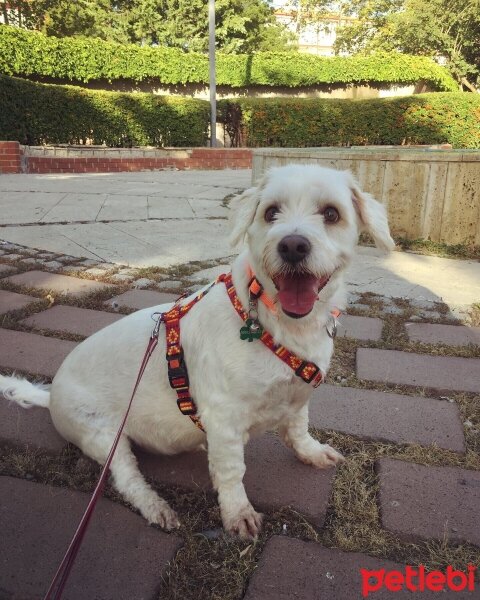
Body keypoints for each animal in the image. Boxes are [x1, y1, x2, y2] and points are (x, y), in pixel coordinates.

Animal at [0, 163, 394, 540]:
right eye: (271, 212)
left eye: (331, 213)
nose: (293, 246)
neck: (279, 323)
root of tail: (50, 396)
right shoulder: (223, 414)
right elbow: (232, 470)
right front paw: (237, 513)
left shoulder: (298, 397)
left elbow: (298, 429)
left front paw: (310, 452)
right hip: (102, 435)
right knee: (126, 478)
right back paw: (156, 507)